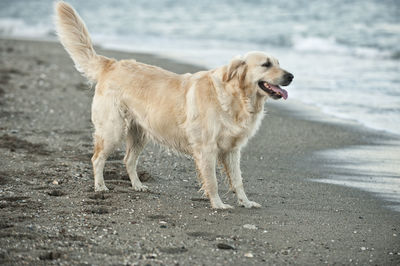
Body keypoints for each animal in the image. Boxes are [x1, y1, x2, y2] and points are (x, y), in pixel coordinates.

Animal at [54, 2, 294, 210]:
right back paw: (100, 186)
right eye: (266, 64)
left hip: (140, 133)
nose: (291, 76)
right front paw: (218, 204)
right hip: (113, 129)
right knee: (97, 158)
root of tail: (112, 64)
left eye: (279, 63)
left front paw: (245, 202)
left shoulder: (232, 149)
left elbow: (238, 180)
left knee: (128, 159)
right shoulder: (206, 148)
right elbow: (213, 181)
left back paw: (138, 185)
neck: (236, 97)